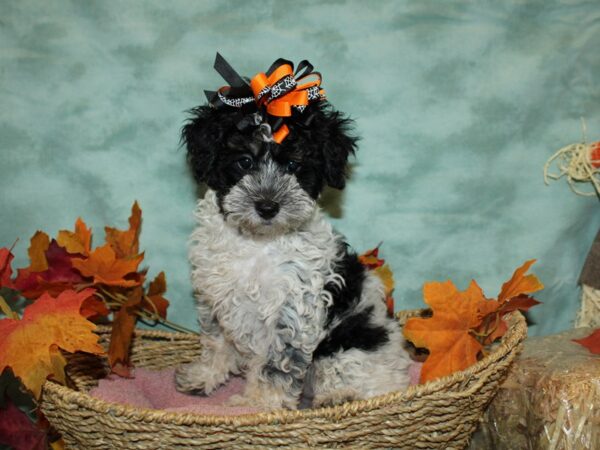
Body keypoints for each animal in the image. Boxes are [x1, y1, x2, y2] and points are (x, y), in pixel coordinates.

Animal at [175, 74, 412, 412]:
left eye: (293, 166)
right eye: (244, 161)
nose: (267, 207)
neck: (259, 243)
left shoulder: (293, 309)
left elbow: (276, 365)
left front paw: (258, 406)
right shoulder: (216, 297)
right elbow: (215, 340)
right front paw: (205, 375)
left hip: (353, 340)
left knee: (361, 377)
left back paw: (339, 397)